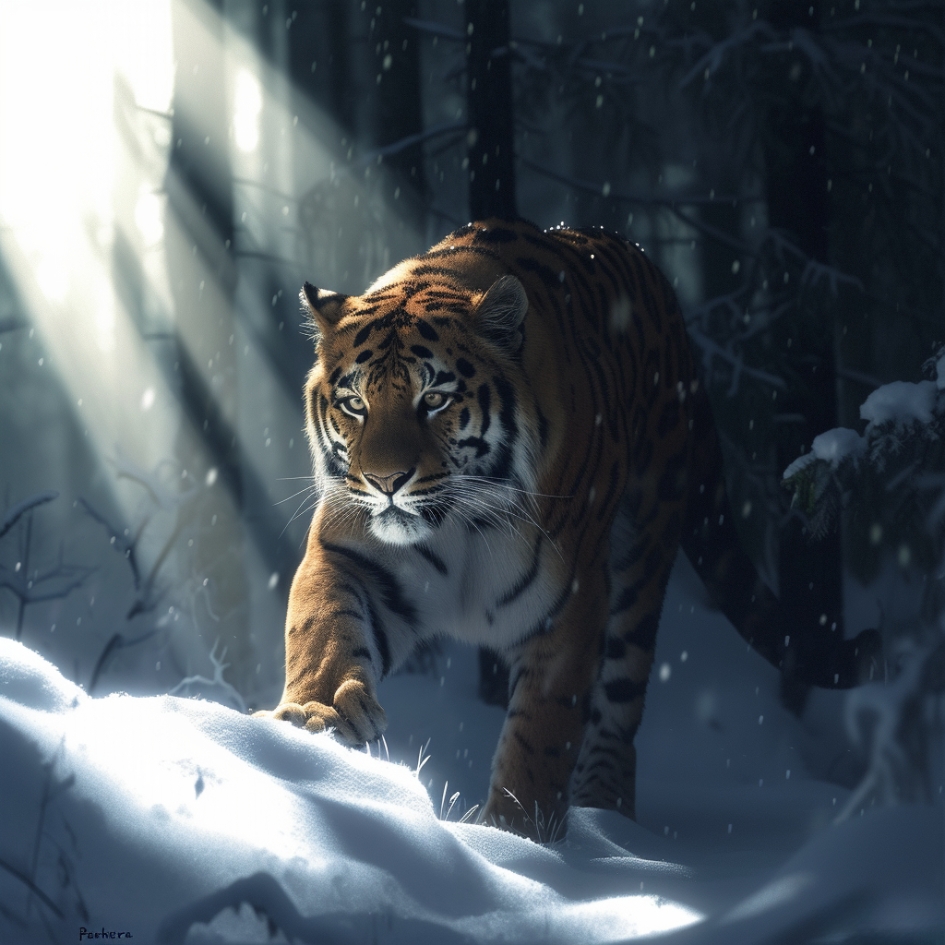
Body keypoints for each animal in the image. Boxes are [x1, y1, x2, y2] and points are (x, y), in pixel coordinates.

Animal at [256, 218, 881, 840]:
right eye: (354, 403)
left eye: (433, 399)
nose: (385, 481)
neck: (458, 525)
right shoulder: (347, 556)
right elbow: (322, 633)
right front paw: (316, 720)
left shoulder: (568, 607)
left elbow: (540, 735)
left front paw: (514, 838)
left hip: (644, 555)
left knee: (622, 705)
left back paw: (608, 821)